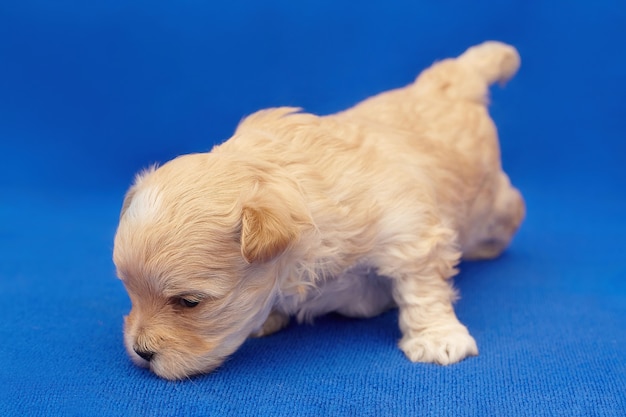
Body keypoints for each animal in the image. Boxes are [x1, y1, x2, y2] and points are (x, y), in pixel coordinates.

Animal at [111, 40, 520, 378]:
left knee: (513, 207)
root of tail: (451, 79)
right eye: (129, 290)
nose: (140, 352)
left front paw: (437, 337)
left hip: (490, 206)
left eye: (189, 303)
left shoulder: (409, 232)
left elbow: (422, 288)